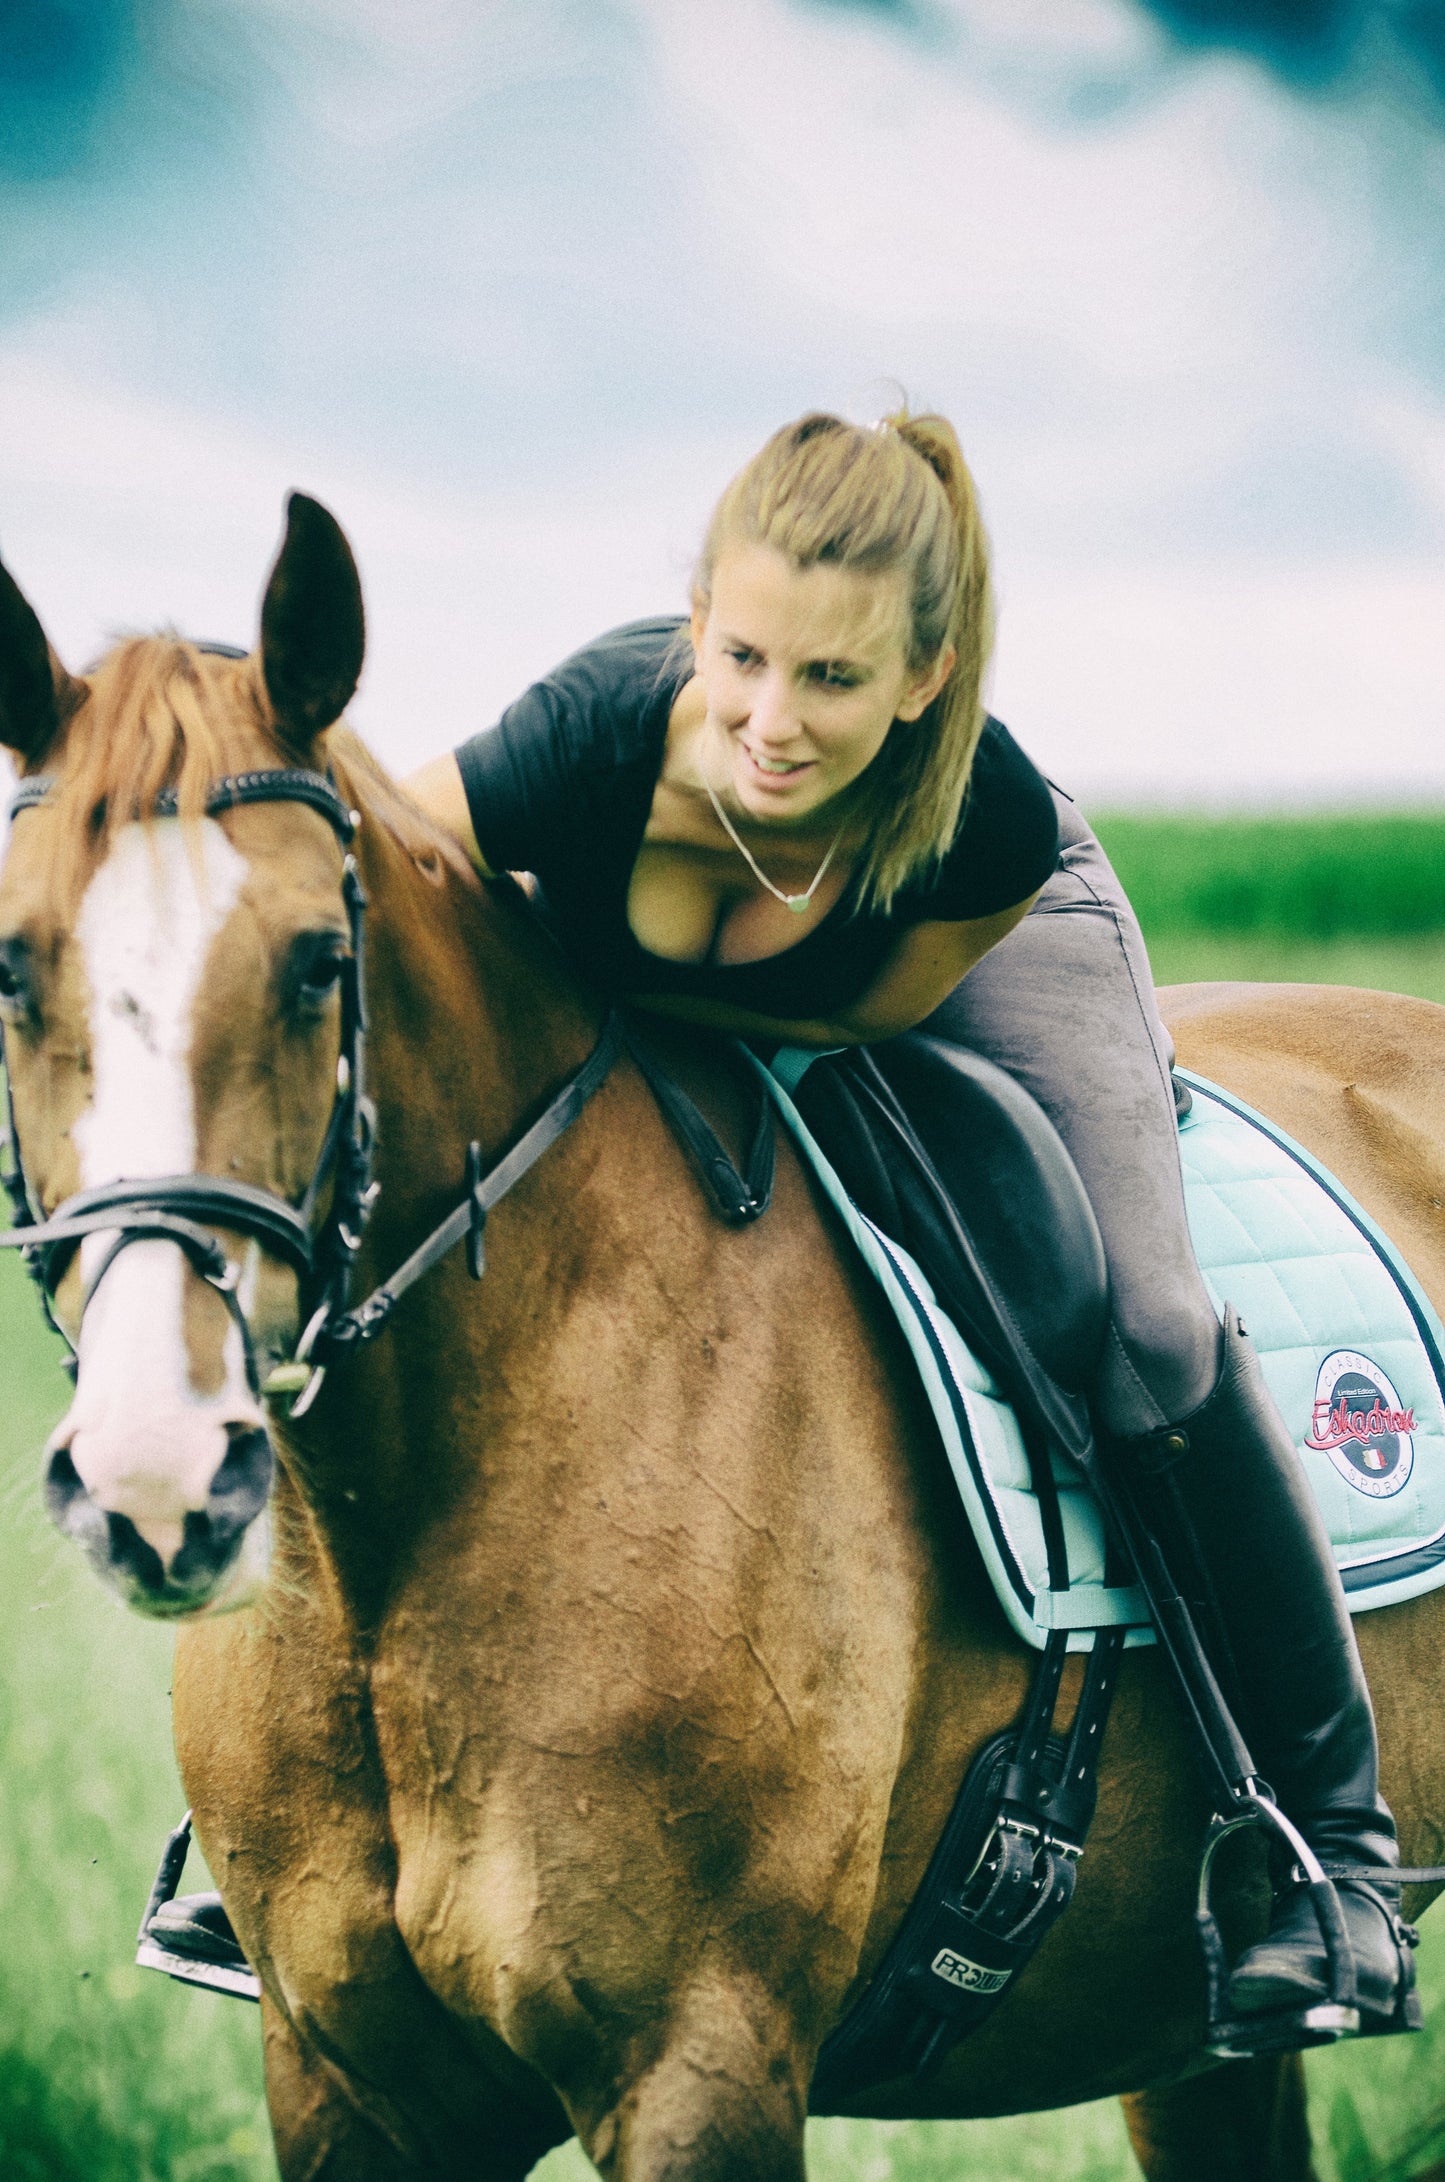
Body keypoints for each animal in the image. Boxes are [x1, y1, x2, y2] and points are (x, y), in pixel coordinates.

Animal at [0, 497, 1441, 2182]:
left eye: (314, 963)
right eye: (15, 967)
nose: (153, 1475)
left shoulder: (701, 2064)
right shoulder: (351, 2086)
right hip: (1186, 2045)